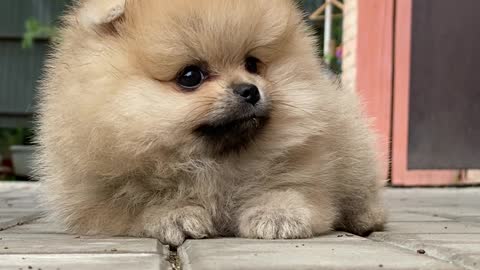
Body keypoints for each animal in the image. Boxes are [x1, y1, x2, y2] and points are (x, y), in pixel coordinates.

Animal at [34, 0, 386, 246]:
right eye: (190, 76)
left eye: (252, 64)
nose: (250, 90)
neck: (215, 161)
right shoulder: (99, 202)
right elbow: (137, 207)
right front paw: (174, 214)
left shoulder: (307, 174)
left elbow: (289, 190)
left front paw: (276, 215)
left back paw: (365, 218)